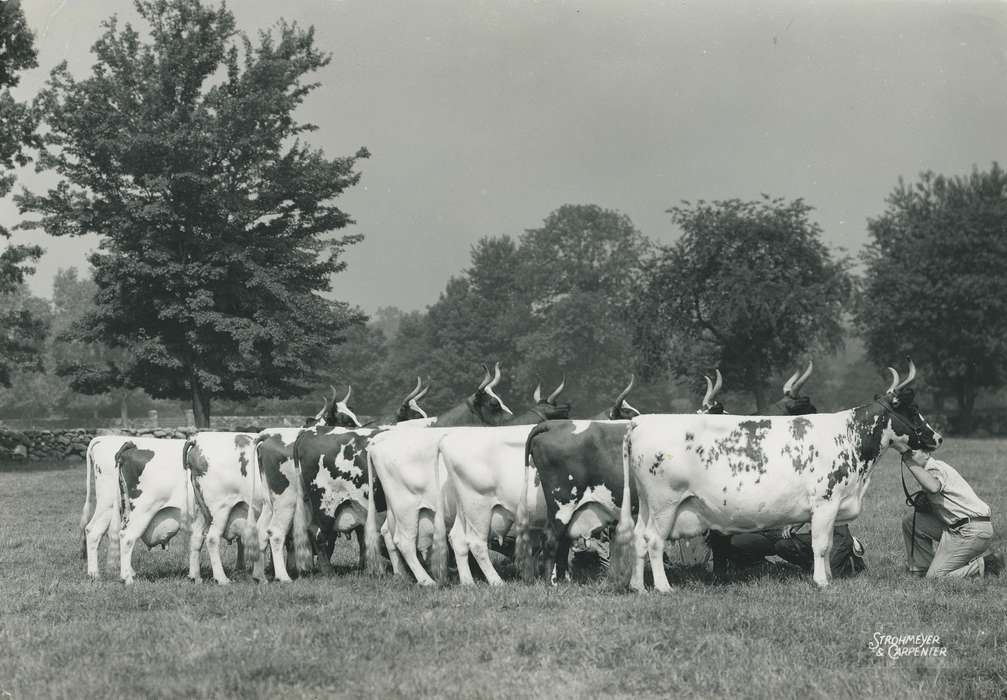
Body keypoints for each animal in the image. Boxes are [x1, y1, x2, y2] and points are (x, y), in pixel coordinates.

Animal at [364, 365, 571, 585]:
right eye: (494, 404)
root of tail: (377, 442)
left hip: (397, 509)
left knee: (388, 533)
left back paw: (403, 574)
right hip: (408, 507)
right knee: (404, 540)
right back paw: (429, 579)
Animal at [612, 361, 942, 590]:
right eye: (912, 409)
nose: (936, 437)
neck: (849, 437)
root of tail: (641, 422)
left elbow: (827, 544)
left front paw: (828, 576)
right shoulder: (825, 501)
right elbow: (821, 544)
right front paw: (821, 581)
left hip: (648, 505)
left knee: (640, 539)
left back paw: (638, 586)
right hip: (665, 503)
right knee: (654, 541)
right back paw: (663, 588)